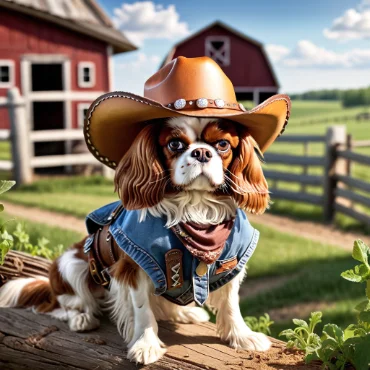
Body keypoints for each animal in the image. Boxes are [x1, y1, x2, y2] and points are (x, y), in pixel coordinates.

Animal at [0, 118, 272, 364]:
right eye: (175, 144)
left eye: (223, 144)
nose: (202, 152)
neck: (194, 208)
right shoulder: (135, 265)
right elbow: (142, 309)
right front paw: (145, 345)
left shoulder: (231, 261)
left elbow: (230, 303)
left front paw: (242, 336)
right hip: (71, 266)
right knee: (60, 306)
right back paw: (81, 318)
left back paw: (185, 313)